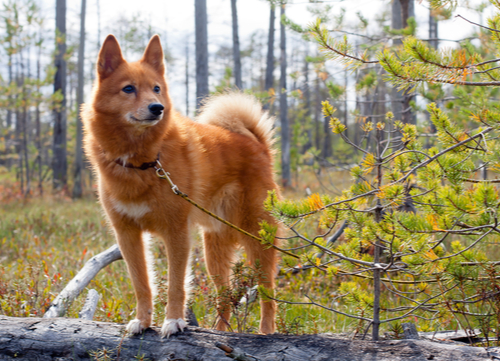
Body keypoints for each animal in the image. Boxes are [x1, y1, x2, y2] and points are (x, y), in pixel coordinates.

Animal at [84, 35, 284, 336]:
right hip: (214, 250)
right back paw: (220, 332)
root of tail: (256, 144)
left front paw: (174, 321)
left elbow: (176, 284)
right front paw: (142, 321)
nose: (158, 107)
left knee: (267, 293)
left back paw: (266, 332)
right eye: (128, 89)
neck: (144, 162)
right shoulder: (128, 235)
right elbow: (142, 284)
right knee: (224, 297)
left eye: (156, 88)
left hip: (256, 238)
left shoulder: (176, 232)